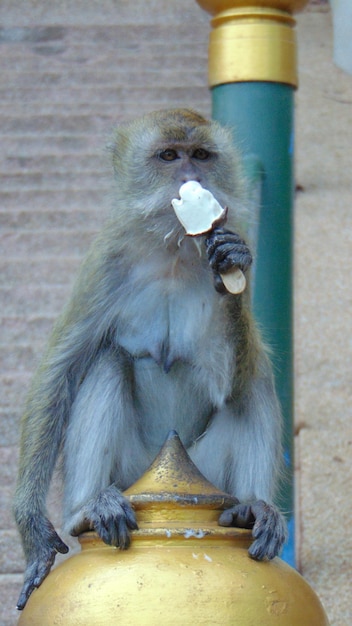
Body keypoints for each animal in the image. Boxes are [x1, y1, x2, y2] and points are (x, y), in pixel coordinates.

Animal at [14, 108, 286, 608]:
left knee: (255, 381)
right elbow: (59, 372)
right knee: (108, 362)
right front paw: (33, 532)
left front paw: (229, 261)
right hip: (130, 472)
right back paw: (85, 510)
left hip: (209, 474)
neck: (175, 247)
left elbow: (226, 382)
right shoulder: (105, 262)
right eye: (169, 156)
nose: (192, 177)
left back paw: (253, 508)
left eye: (202, 155)